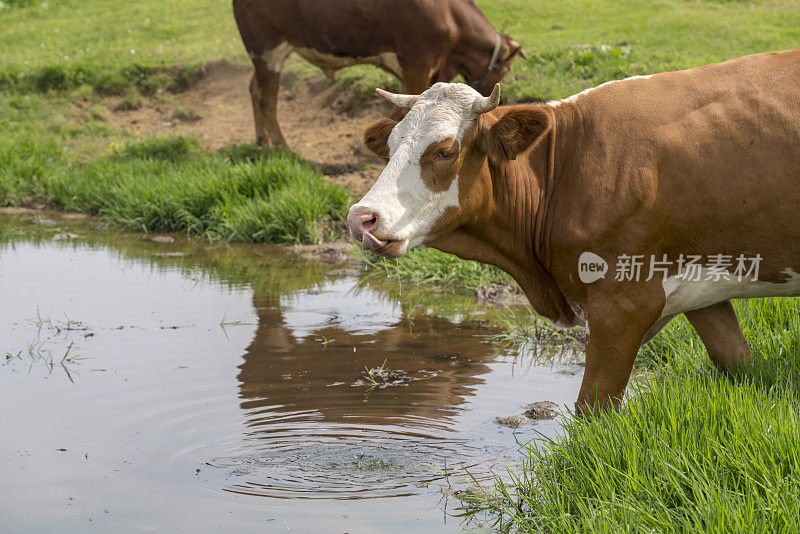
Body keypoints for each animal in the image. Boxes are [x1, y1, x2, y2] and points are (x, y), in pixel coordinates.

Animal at [230, 0, 524, 148]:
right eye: (507, 70)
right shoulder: (416, 64)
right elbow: (404, 111)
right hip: (268, 49)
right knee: (267, 98)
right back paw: (281, 146)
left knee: (254, 89)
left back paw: (262, 140)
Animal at [346, 49, 800, 414]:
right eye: (389, 148)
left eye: (444, 151)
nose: (362, 217)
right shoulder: (703, 290)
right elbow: (740, 361)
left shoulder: (622, 306)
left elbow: (592, 410)